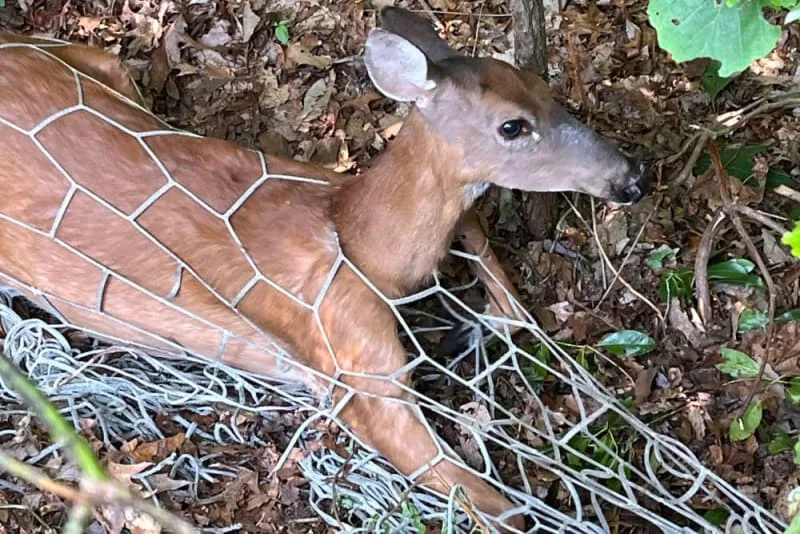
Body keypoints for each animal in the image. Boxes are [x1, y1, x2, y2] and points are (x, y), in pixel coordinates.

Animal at [0, 6, 648, 532]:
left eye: (544, 84)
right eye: (512, 126)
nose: (631, 180)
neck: (360, 244)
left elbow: (496, 270)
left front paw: (472, 327)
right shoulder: (350, 363)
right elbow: (500, 509)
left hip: (103, 64)